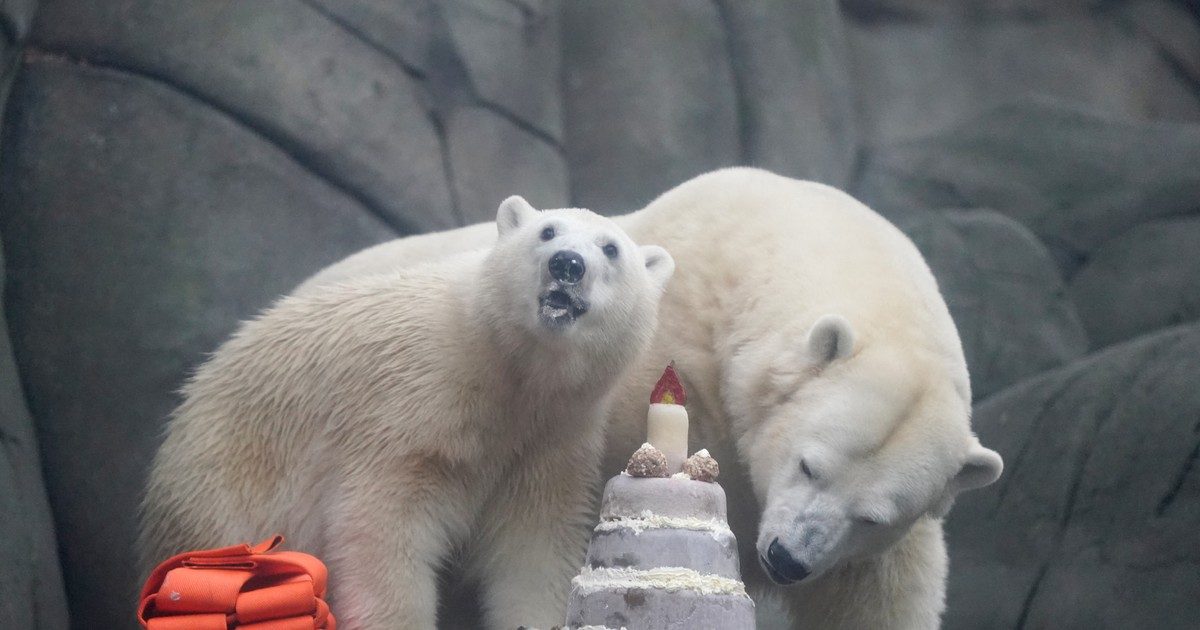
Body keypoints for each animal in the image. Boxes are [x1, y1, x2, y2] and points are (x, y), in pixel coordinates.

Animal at [140, 196, 676, 628]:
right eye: (546, 231)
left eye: (611, 249)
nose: (567, 264)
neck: (504, 365)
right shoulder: (407, 404)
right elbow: (382, 529)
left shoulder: (552, 438)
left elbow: (534, 550)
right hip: (223, 490)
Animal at [300, 168, 1003, 628]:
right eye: (810, 464)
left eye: (875, 517)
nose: (786, 560)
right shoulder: (656, 365)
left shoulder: (866, 551)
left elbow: (877, 598)